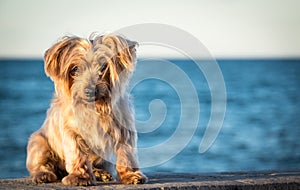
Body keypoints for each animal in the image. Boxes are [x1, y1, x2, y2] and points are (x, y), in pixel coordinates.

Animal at [25, 33, 146, 186]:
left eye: (103, 67)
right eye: (75, 69)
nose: (89, 90)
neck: (96, 106)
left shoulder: (124, 129)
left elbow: (126, 153)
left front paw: (131, 175)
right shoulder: (72, 131)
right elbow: (77, 153)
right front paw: (80, 177)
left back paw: (100, 173)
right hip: (38, 142)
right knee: (41, 163)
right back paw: (43, 174)